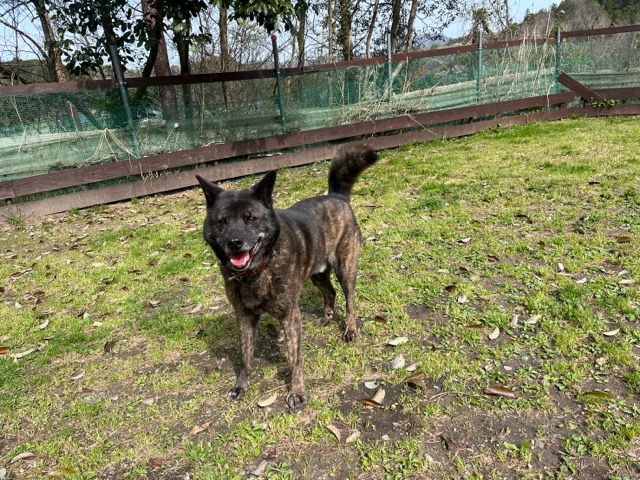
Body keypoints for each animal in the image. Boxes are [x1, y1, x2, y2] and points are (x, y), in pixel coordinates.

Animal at [196, 144, 378, 410]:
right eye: (222, 221)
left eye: (251, 218)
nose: (234, 242)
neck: (258, 269)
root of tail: (337, 197)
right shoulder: (244, 317)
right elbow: (245, 356)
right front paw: (241, 386)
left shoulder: (290, 316)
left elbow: (295, 359)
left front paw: (297, 392)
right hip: (317, 275)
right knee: (330, 292)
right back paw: (326, 317)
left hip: (345, 268)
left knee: (350, 299)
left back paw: (350, 329)